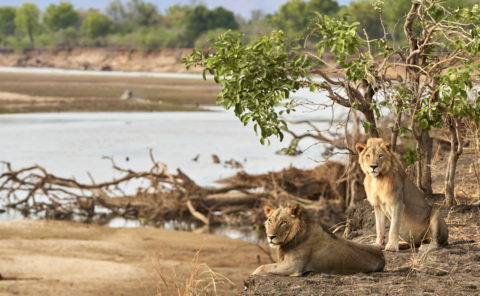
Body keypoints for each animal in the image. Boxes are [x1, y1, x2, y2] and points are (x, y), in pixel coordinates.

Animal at [251, 204, 386, 276]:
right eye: (270, 221)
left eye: (283, 222)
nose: (270, 236)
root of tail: (382, 257)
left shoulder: (293, 266)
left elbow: (261, 267)